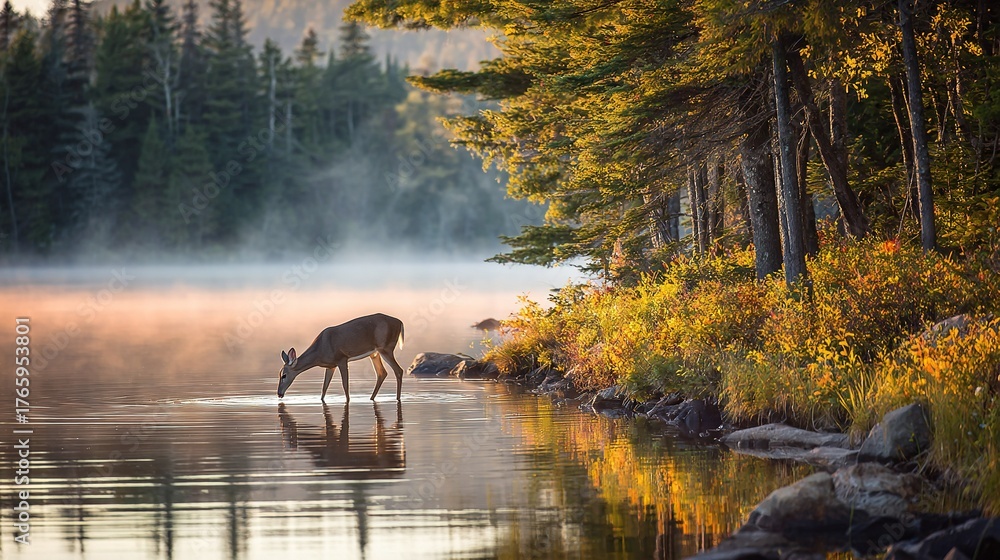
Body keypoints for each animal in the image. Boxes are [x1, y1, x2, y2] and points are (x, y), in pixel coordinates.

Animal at [277, 313, 405, 402]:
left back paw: (397, 398)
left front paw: (348, 401)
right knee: (382, 373)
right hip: (374, 354)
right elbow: (324, 387)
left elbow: (345, 385)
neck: (320, 351)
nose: (279, 393)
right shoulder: (330, 366)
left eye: (284, 375)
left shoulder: (342, 359)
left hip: (386, 348)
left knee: (398, 370)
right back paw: (371, 398)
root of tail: (400, 322)